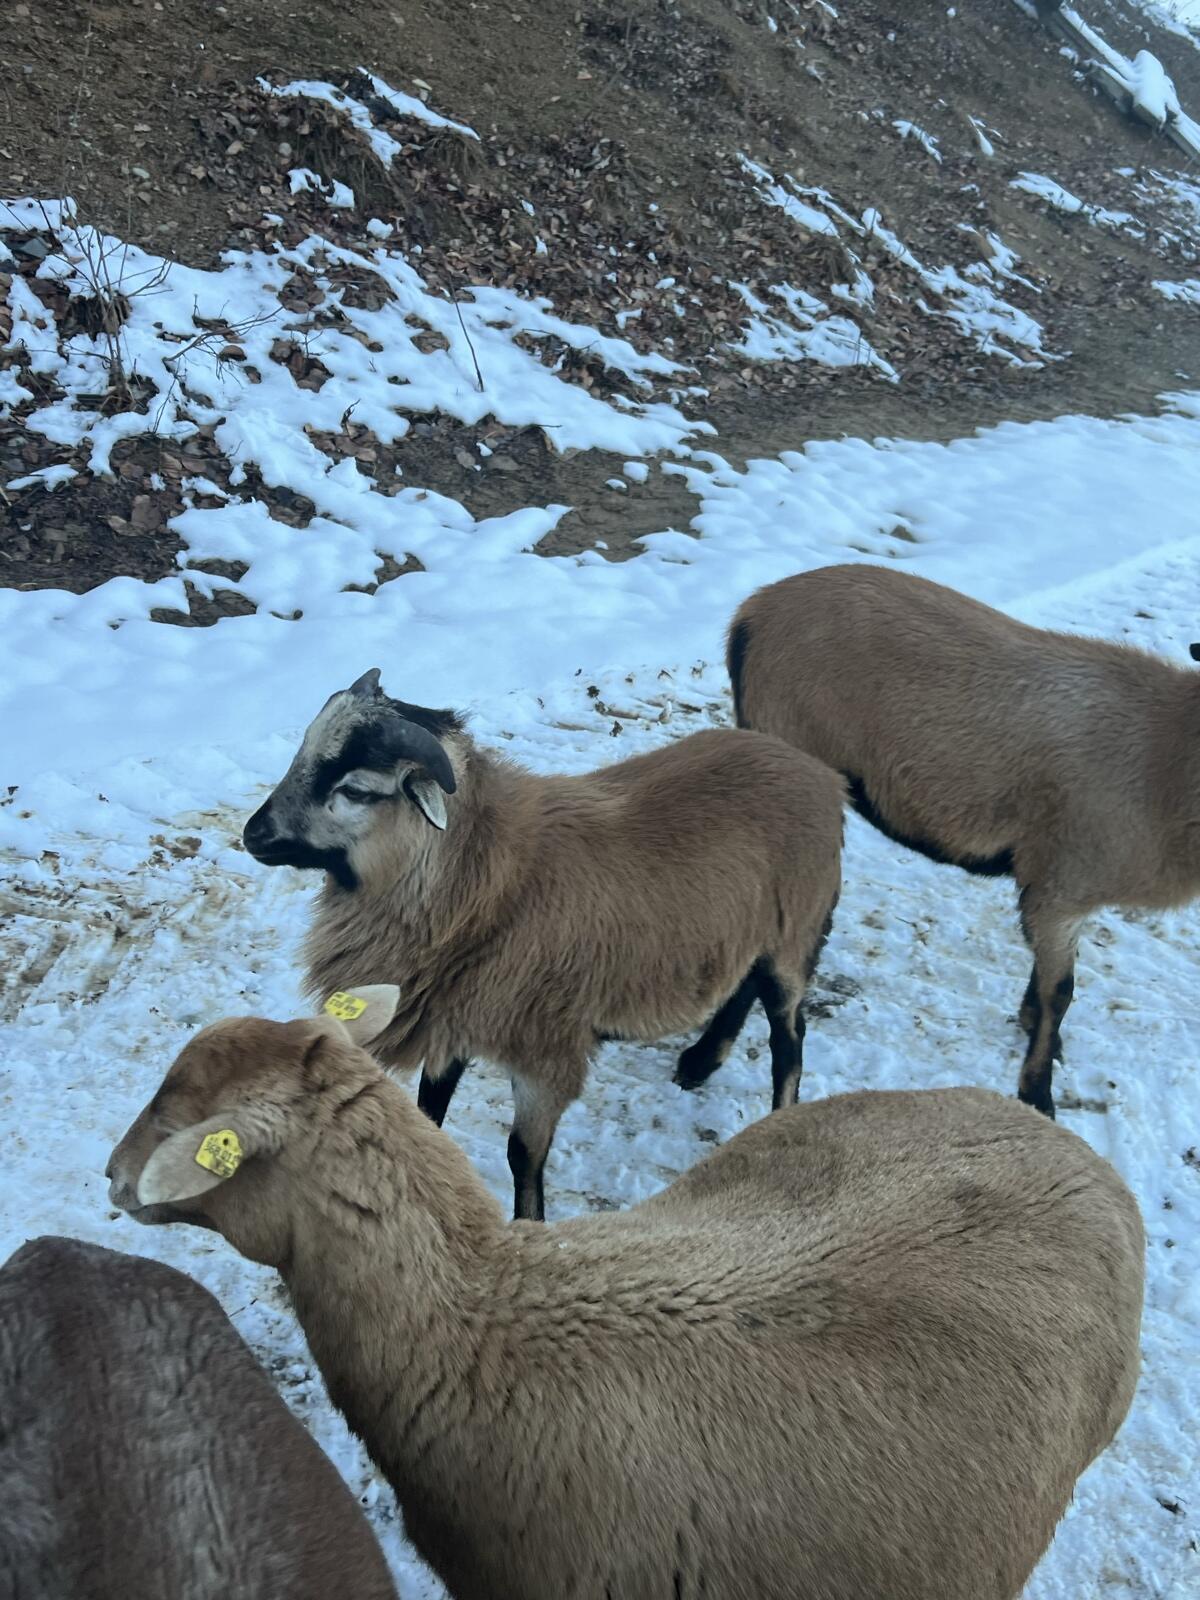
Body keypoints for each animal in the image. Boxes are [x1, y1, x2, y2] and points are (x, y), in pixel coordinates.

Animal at [240, 668, 844, 1219]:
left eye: (356, 790)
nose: (254, 835)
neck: (484, 878)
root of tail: (815, 771)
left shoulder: (546, 1052)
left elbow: (523, 1155)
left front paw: (529, 1224)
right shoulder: (452, 1020)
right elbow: (430, 1112)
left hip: (796, 934)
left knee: (789, 1037)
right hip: (751, 931)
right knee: (742, 985)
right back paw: (699, 1061)